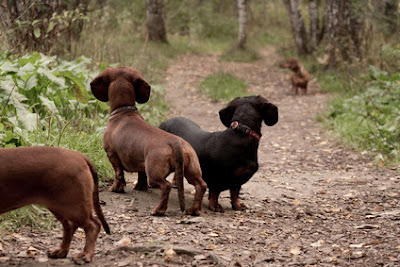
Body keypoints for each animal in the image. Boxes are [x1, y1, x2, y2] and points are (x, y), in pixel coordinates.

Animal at [90, 67, 206, 218]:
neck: (124, 112)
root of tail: (175, 142)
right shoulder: (140, 163)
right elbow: (141, 175)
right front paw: (140, 187)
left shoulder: (111, 153)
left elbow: (118, 174)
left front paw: (116, 188)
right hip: (191, 169)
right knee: (201, 185)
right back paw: (194, 210)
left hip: (154, 174)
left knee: (166, 186)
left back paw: (159, 210)